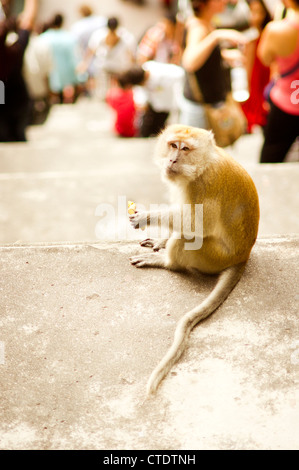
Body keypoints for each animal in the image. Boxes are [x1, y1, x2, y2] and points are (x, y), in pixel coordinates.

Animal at [130, 125, 262, 396]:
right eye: (173, 145)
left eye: (185, 148)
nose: (172, 160)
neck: (202, 165)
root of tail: (244, 255)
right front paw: (161, 239)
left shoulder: (204, 185)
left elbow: (197, 225)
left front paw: (147, 217)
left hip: (212, 258)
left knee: (188, 238)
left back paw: (167, 262)